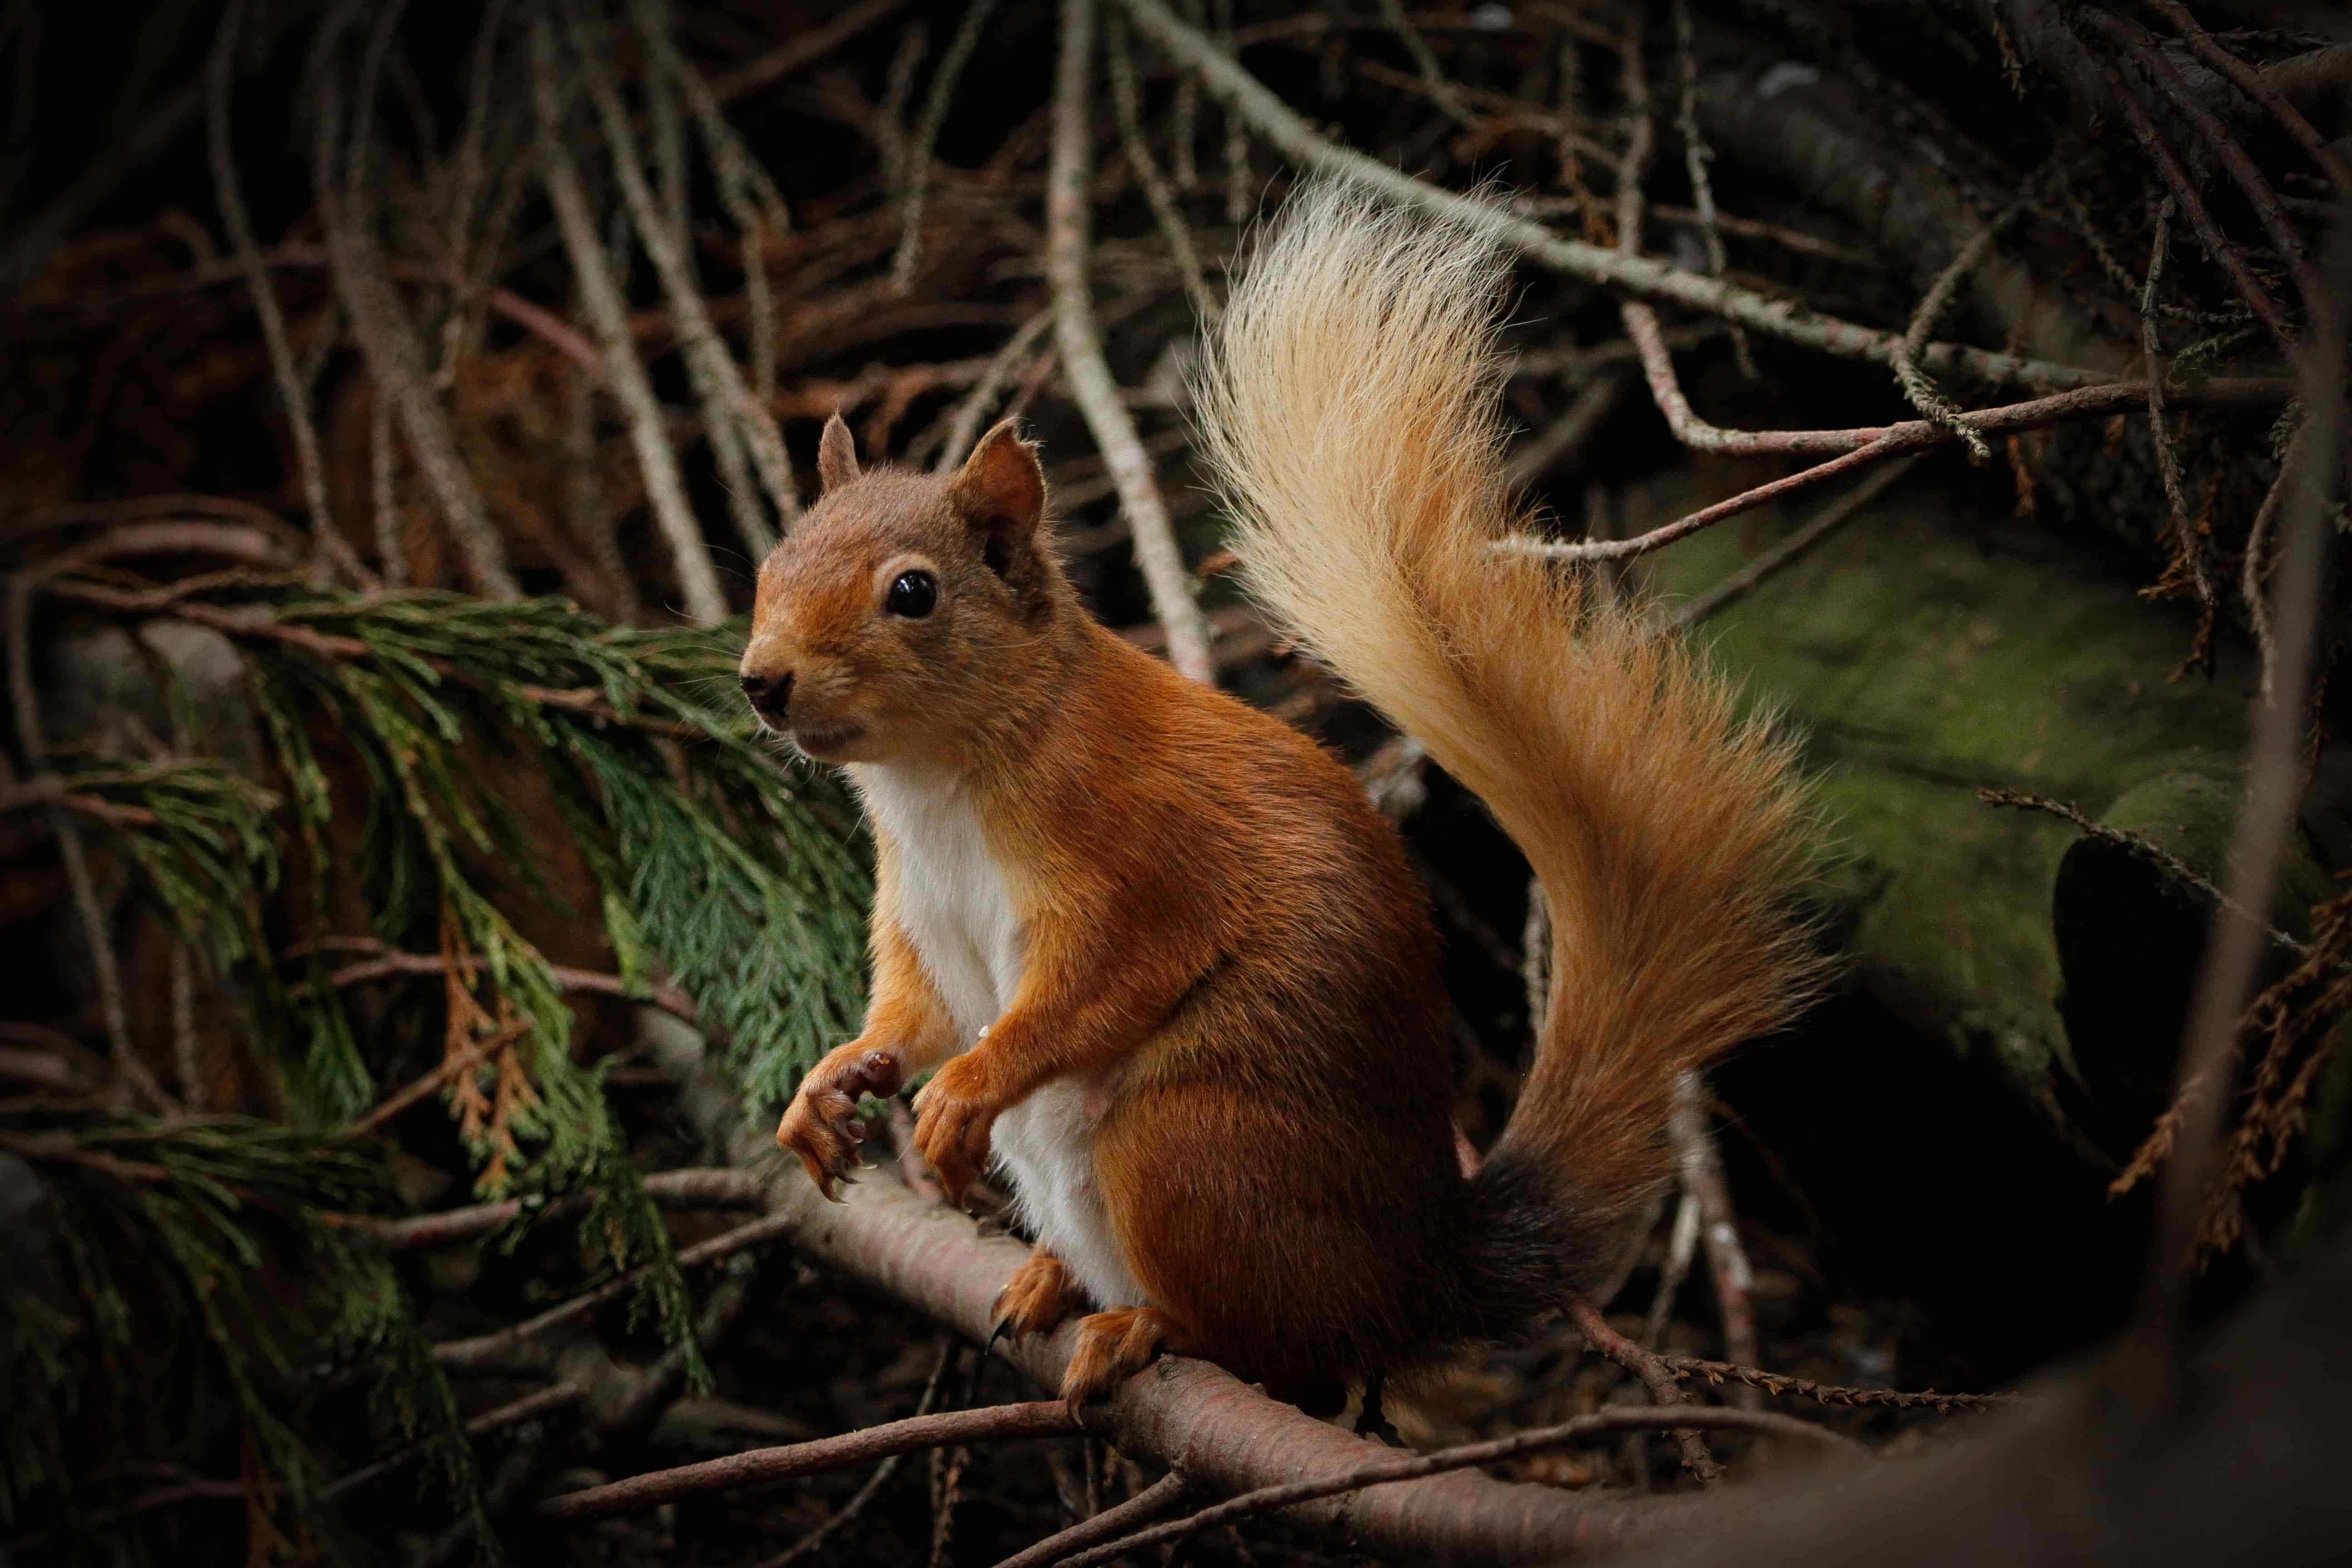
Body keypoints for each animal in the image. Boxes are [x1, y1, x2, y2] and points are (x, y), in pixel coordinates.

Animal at [741, 184, 1818, 1416]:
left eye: (912, 592)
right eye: (772, 560)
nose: (762, 680)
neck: (935, 786)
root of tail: (1418, 1275)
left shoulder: (1139, 860)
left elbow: (1096, 986)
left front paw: (969, 1087)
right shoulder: (915, 910)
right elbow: (911, 1009)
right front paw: (835, 1079)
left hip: (1189, 1147)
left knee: (1280, 1342)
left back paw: (1148, 1324)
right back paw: (1054, 1277)